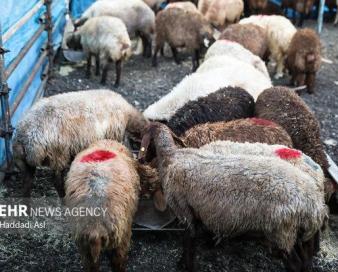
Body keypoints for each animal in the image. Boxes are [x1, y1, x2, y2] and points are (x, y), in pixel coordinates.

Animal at [137, 122, 328, 272]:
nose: (142, 160)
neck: (172, 157)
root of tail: (312, 203)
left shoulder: (185, 211)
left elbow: (188, 242)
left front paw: (186, 265)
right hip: (296, 232)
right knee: (305, 259)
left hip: (282, 230)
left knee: (295, 264)